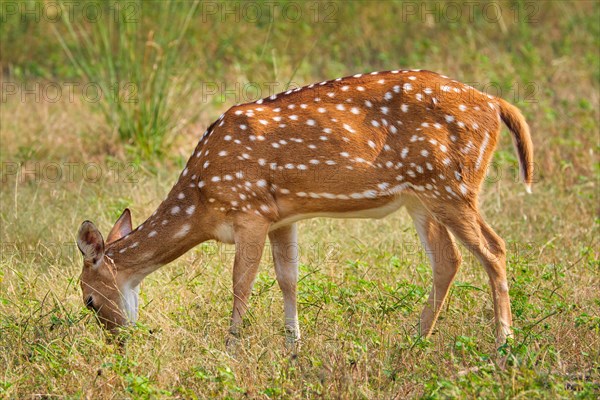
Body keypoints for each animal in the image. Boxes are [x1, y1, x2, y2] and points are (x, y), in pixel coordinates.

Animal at [77, 69, 532, 350]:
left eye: (88, 301)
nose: (119, 343)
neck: (202, 200)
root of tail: (496, 103)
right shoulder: (282, 217)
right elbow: (288, 279)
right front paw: (293, 345)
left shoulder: (248, 209)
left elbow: (241, 283)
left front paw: (231, 346)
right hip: (421, 196)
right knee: (448, 259)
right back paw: (416, 339)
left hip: (452, 184)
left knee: (494, 249)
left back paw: (503, 342)